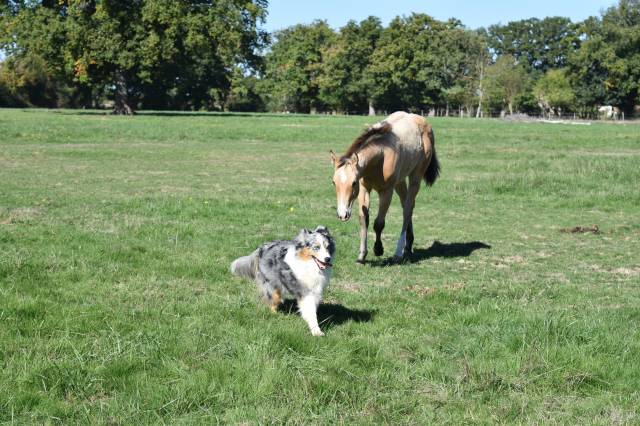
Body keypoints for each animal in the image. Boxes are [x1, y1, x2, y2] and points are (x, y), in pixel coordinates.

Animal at [330, 111, 440, 263]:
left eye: (353, 183)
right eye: (334, 182)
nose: (342, 215)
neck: (382, 153)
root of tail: (424, 123)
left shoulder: (386, 191)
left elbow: (379, 223)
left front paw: (378, 249)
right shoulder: (364, 189)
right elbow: (364, 219)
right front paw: (361, 255)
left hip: (415, 178)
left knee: (407, 210)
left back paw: (399, 252)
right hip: (400, 181)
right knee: (407, 206)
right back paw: (408, 245)